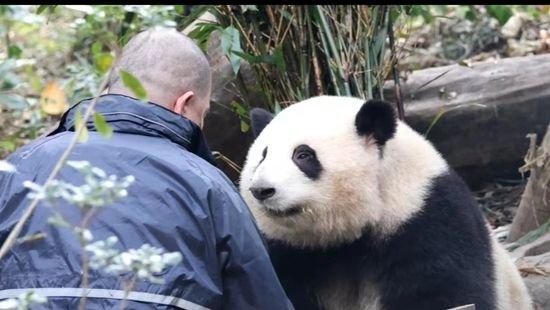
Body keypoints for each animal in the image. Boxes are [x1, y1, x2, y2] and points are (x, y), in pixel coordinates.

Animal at [240, 95, 536, 308]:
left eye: (302, 155)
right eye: (262, 156)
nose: (262, 190)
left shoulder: (426, 216)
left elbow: (444, 290)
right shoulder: (289, 250)